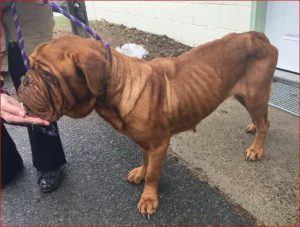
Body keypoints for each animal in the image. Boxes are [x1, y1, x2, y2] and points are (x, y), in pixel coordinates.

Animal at [17, 31, 278, 215]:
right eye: (30, 67)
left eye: (48, 76)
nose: (23, 80)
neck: (118, 85)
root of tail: (259, 36)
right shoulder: (145, 141)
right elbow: (145, 160)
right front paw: (140, 173)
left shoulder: (160, 145)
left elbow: (154, 173)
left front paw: (149, 198)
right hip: (246, 95)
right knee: (262, 119)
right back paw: (253, 127)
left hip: (254, 94)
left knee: (265, 122)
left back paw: (257, 148)